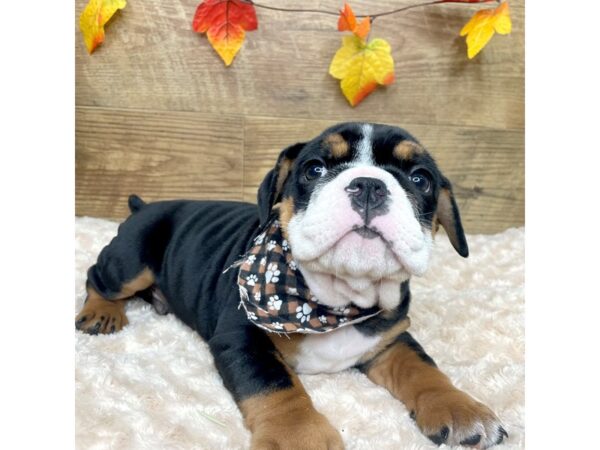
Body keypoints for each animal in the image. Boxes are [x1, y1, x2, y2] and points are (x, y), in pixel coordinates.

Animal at [75, 122, 506, 450]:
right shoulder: (243, 338)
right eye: (314, 170)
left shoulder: (390, 337)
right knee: (98, 277)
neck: (335, 300)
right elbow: (276, 387)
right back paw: (101, 313)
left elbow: (423, 368)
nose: (369, 185)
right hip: (132, 259)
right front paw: (299, 437)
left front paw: (461, 409)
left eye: (420, 179)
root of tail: (144, 206)